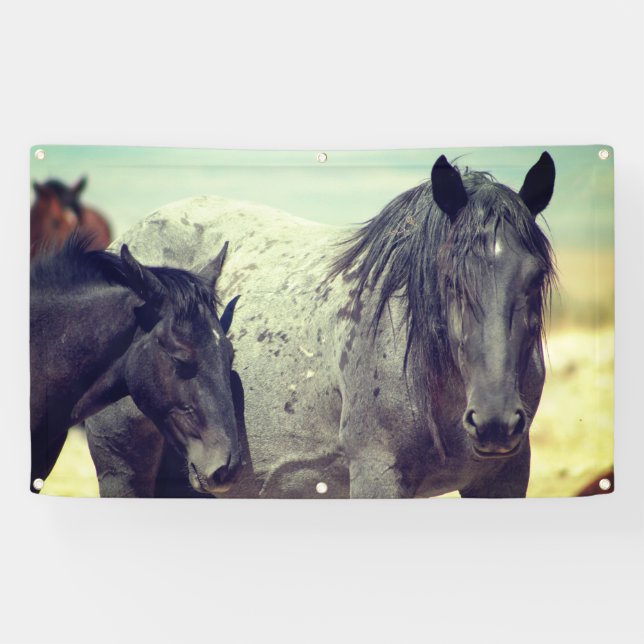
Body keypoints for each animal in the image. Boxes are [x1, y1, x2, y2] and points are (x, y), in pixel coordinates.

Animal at [85, 152, 556, 498]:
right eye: (451, 280)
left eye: (535, 278)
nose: (495, 422)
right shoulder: (377, 475)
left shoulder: (505, 477)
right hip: (123, 470)